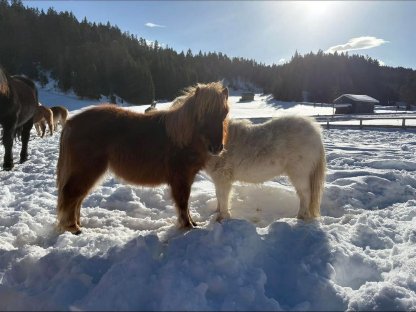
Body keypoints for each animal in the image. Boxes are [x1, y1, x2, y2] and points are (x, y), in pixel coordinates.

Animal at [55, 82, 229, 234]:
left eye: (224, 114)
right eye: (202, 114)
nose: (216, 147)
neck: (181, 137)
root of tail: (71, 122)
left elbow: (185, 204)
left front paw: (192, 223)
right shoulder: (181, 179)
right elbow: (183, 202)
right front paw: (188, 226)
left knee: (78, 197)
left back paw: (78, 224)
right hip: (87, 170)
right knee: (71, 194)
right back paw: (73, 227)